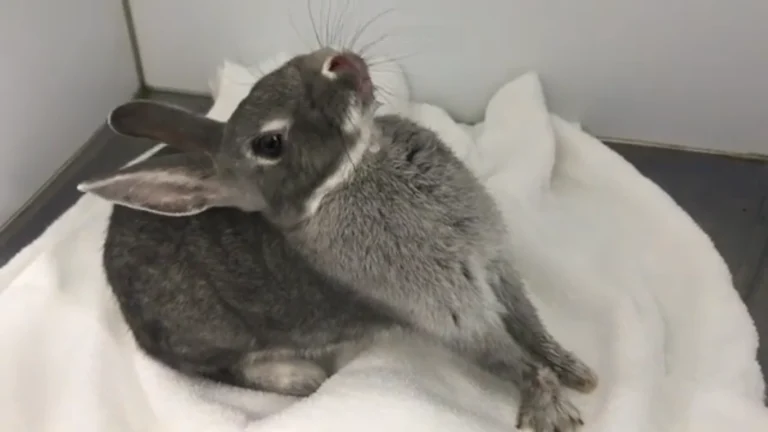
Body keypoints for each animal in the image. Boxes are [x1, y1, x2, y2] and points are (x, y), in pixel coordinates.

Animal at [79, 47, 598, 432]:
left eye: (279, 72)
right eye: (270, 144)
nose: (339, 63)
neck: (352, 173)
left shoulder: (495, 268)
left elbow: (531, 326)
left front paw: (580, 373)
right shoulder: (450, 313)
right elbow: (510, 361)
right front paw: (553, 413)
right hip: (208, 337)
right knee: (218, 370)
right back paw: (300, 377)